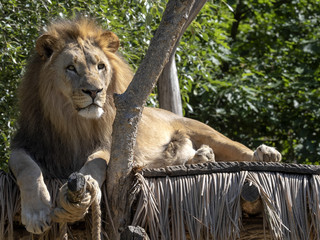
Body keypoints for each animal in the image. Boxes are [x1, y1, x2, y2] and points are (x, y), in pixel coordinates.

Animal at [8, 18, 282, 234]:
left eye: (100, 66)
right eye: (71, 68)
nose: (95, 91)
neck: (74, 123)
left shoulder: (113, 147)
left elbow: (96, 161)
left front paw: (86, 184)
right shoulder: (26, 143)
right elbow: (26, 168)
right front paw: (36, 213)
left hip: (203, 130)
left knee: (237, 148)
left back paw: (265, 153)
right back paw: (202, 157)